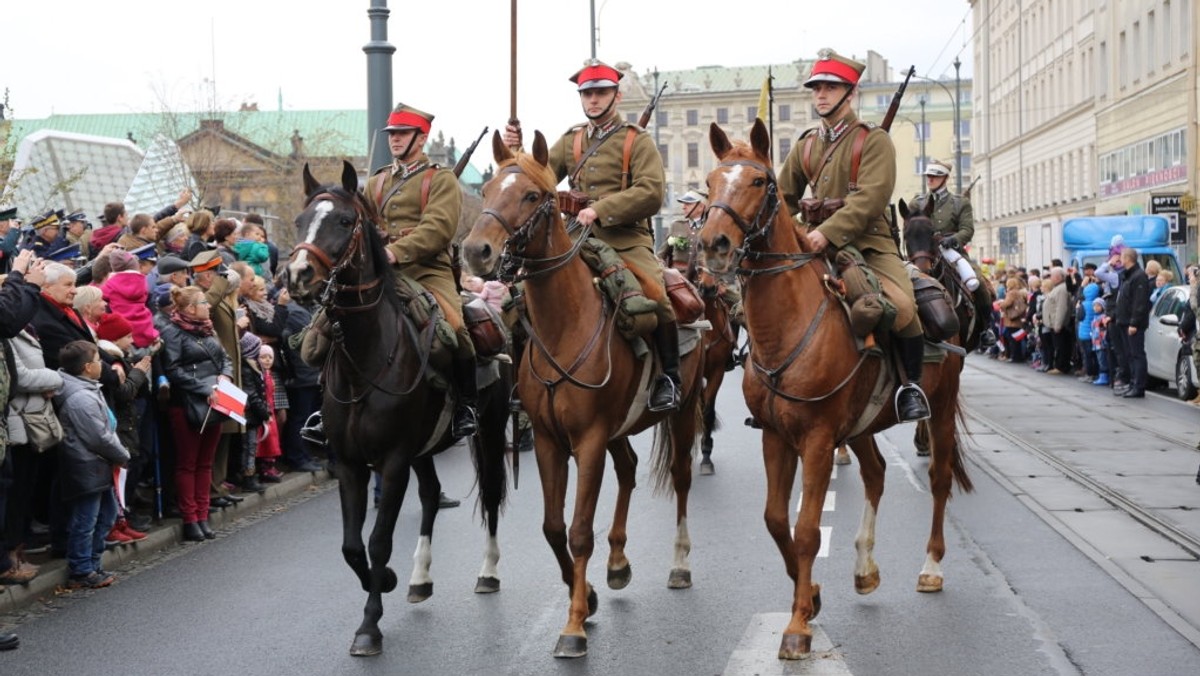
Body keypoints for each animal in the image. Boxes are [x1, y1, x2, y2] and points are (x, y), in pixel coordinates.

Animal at [286, 160, 511, 657]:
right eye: (299, 220)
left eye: (344, 221)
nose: (297, 274)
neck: (366, 356)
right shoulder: (351, 463)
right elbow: (352, 546)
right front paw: (385, 581)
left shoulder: (390, 463)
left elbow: (378, 540)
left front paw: (369, 625)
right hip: (423, 450)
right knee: (430, 496)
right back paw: (418, 578)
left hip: (489, 428)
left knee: (489, 493)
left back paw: (488, 571)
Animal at [456, 129, 700, 657]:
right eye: (488, 191)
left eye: (531, 196)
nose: (476, 252)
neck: (565, 325)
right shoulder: (551, 441)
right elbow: (553, 528)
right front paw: (584, 596)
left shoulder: (587, 442)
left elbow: (581, 531)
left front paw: (572, 626)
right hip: (618, 430)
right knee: (628, 471)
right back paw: (618, 563)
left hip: (684, 410)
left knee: (682, 477)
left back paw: (679, 564)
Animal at [700, 120, 969, 662]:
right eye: (711, 181)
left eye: (758, 181)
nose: (713, 242)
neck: (789, 325)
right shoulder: (775, 437)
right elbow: (775, 520)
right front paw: (813, 596)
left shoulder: (820, 440)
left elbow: (805, 530)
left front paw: (798, 625)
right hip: (864, 424)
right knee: (876, 474)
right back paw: (865, 569)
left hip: (941, 408)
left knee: (939, 480)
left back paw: (931, 567)